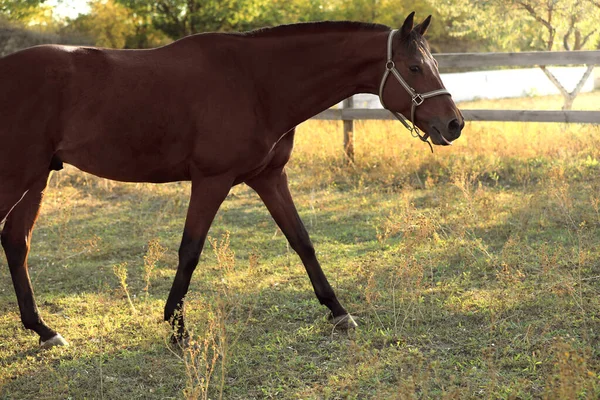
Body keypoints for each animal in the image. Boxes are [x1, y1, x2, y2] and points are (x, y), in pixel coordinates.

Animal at [0, 12, 464, 346]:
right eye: (415, 67)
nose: (454, 124)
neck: (257, 83)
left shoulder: (269, 178)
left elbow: (302, 242)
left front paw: (339, 312)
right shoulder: (211, 180)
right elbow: (190, 251)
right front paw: (177, 328)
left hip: (35, 179)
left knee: (16, 242)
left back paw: (44, 330)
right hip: (17, 177)